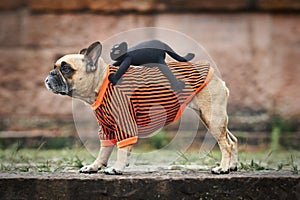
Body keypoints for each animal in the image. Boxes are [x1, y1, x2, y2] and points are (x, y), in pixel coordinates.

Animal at [44, 41, 238, 174]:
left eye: (66, 69)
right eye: (55, 67)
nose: (51, 74)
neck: (101, 83)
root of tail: (216, 76)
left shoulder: (124, 124)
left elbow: (122, 150)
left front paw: (116, 168)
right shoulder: (107, 128)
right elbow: (104, 150)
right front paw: (94, 166)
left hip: (212, 117)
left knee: (226, 144)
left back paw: (222, 168)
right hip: (214, 118)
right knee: (232, 140)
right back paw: (233, 166)